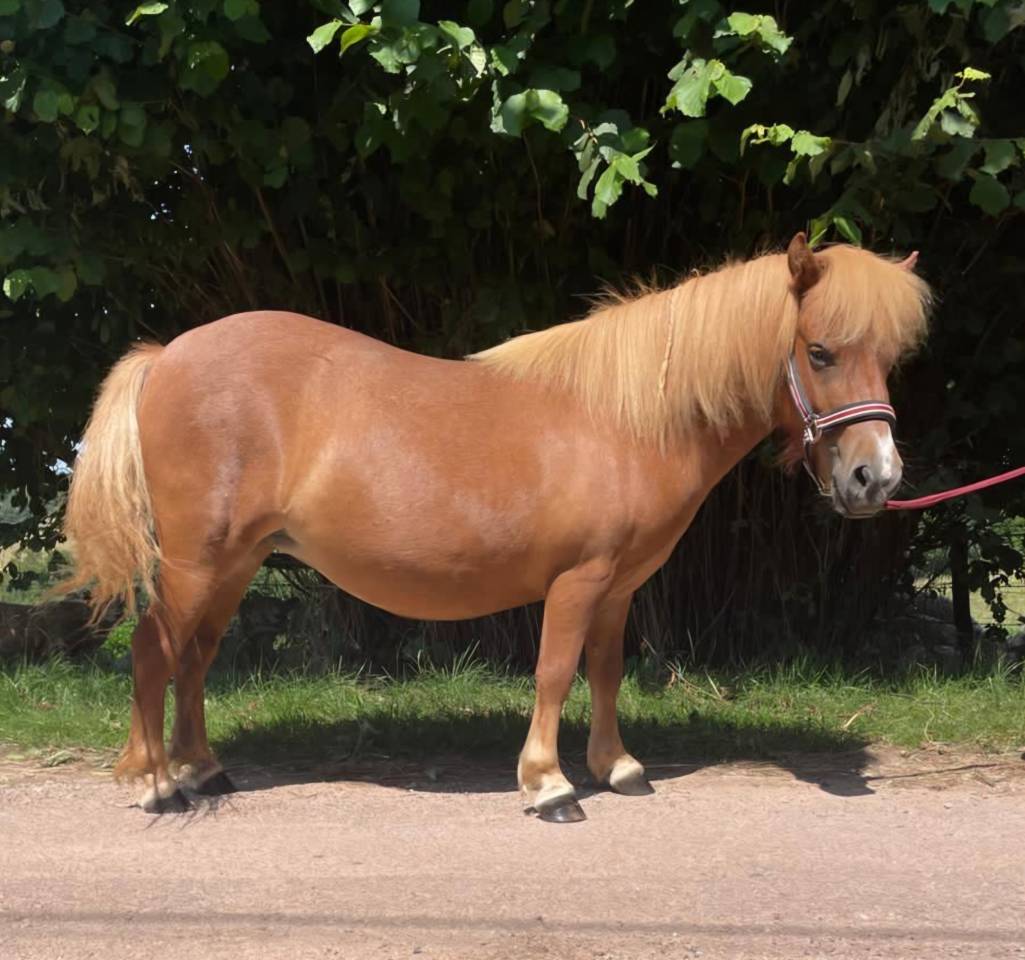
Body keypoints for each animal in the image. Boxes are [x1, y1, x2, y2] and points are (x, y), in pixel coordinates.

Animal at [61, 233, 930, 821]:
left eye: (888, 356)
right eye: (818, 351)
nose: (876, 478)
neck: (624, 421)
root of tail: (168, 354)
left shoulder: (619, 588)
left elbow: (604, 672)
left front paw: (617, 768)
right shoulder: (577, 580)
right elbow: (553, 672)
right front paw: (548, 785)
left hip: (235, 563)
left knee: (195, 658)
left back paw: (202, 769)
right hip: (194, 563)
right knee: (154, 650)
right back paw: (155, 782)